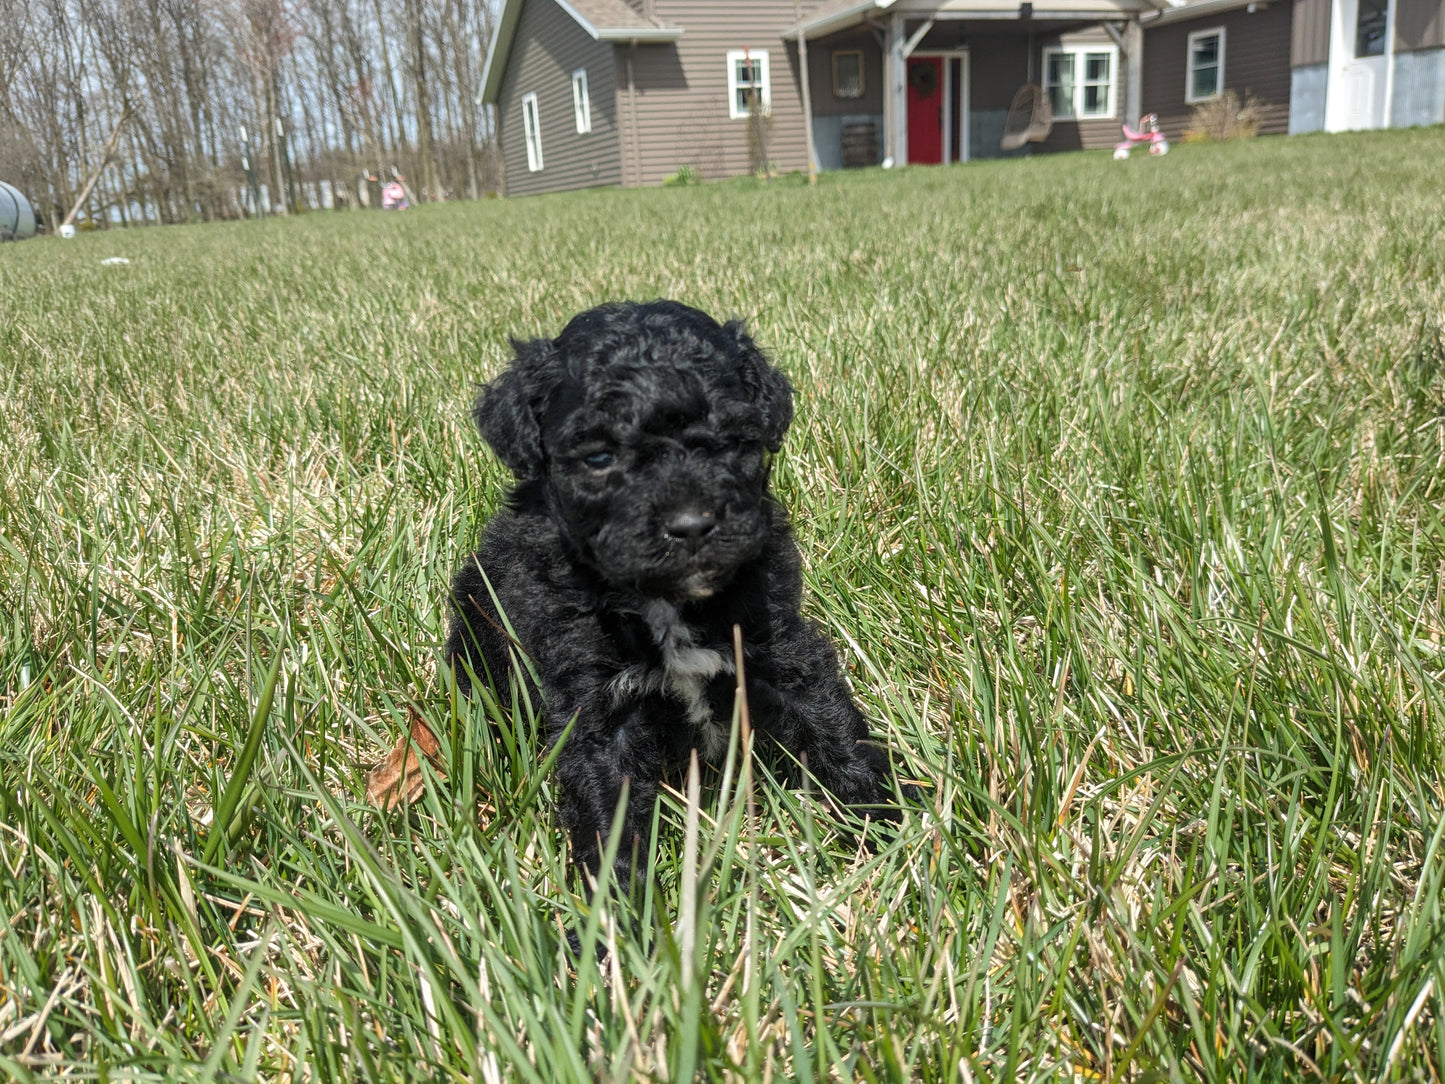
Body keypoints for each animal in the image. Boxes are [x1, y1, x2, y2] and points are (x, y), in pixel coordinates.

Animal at [445, 303, 907, 890]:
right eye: (599, 456)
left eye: (732, 442)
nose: (691, 525)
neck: (664, 600)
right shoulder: (594, 708)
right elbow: (608, 810)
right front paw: (619, 908)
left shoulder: (780, 649)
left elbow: (835, 727)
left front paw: (900, 825)